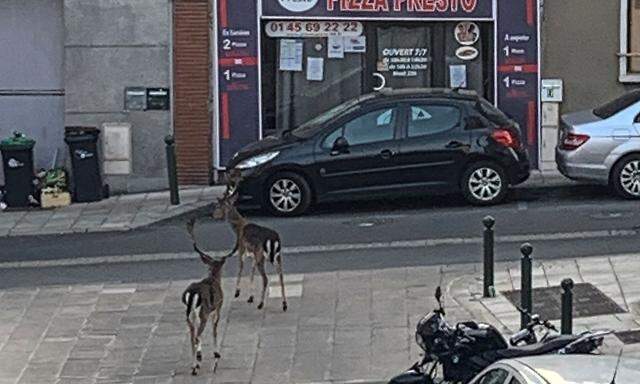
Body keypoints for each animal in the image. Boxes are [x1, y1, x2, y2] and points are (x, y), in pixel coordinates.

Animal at [181, 218, 231, 376]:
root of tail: (191, 294)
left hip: (189, 315)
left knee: (192, 336)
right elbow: (215, 329)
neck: (213, 279)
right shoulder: (218, 307)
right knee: (197, 335)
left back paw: (194, 365)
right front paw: (216, 353)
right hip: (203, 313)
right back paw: (197, 363)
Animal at [212, 172, 288, 310]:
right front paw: (250, 297)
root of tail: (273, 239)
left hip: (262, 255)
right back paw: (284, 304)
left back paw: (261, 303)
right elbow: (251, 273)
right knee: (281, 275)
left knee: (266, 278)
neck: (238, 228)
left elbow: (240, 269)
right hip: (277, 256)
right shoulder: (253, 254)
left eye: (218, 206)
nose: (213, 215)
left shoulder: (242, 249)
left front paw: (237, 292)